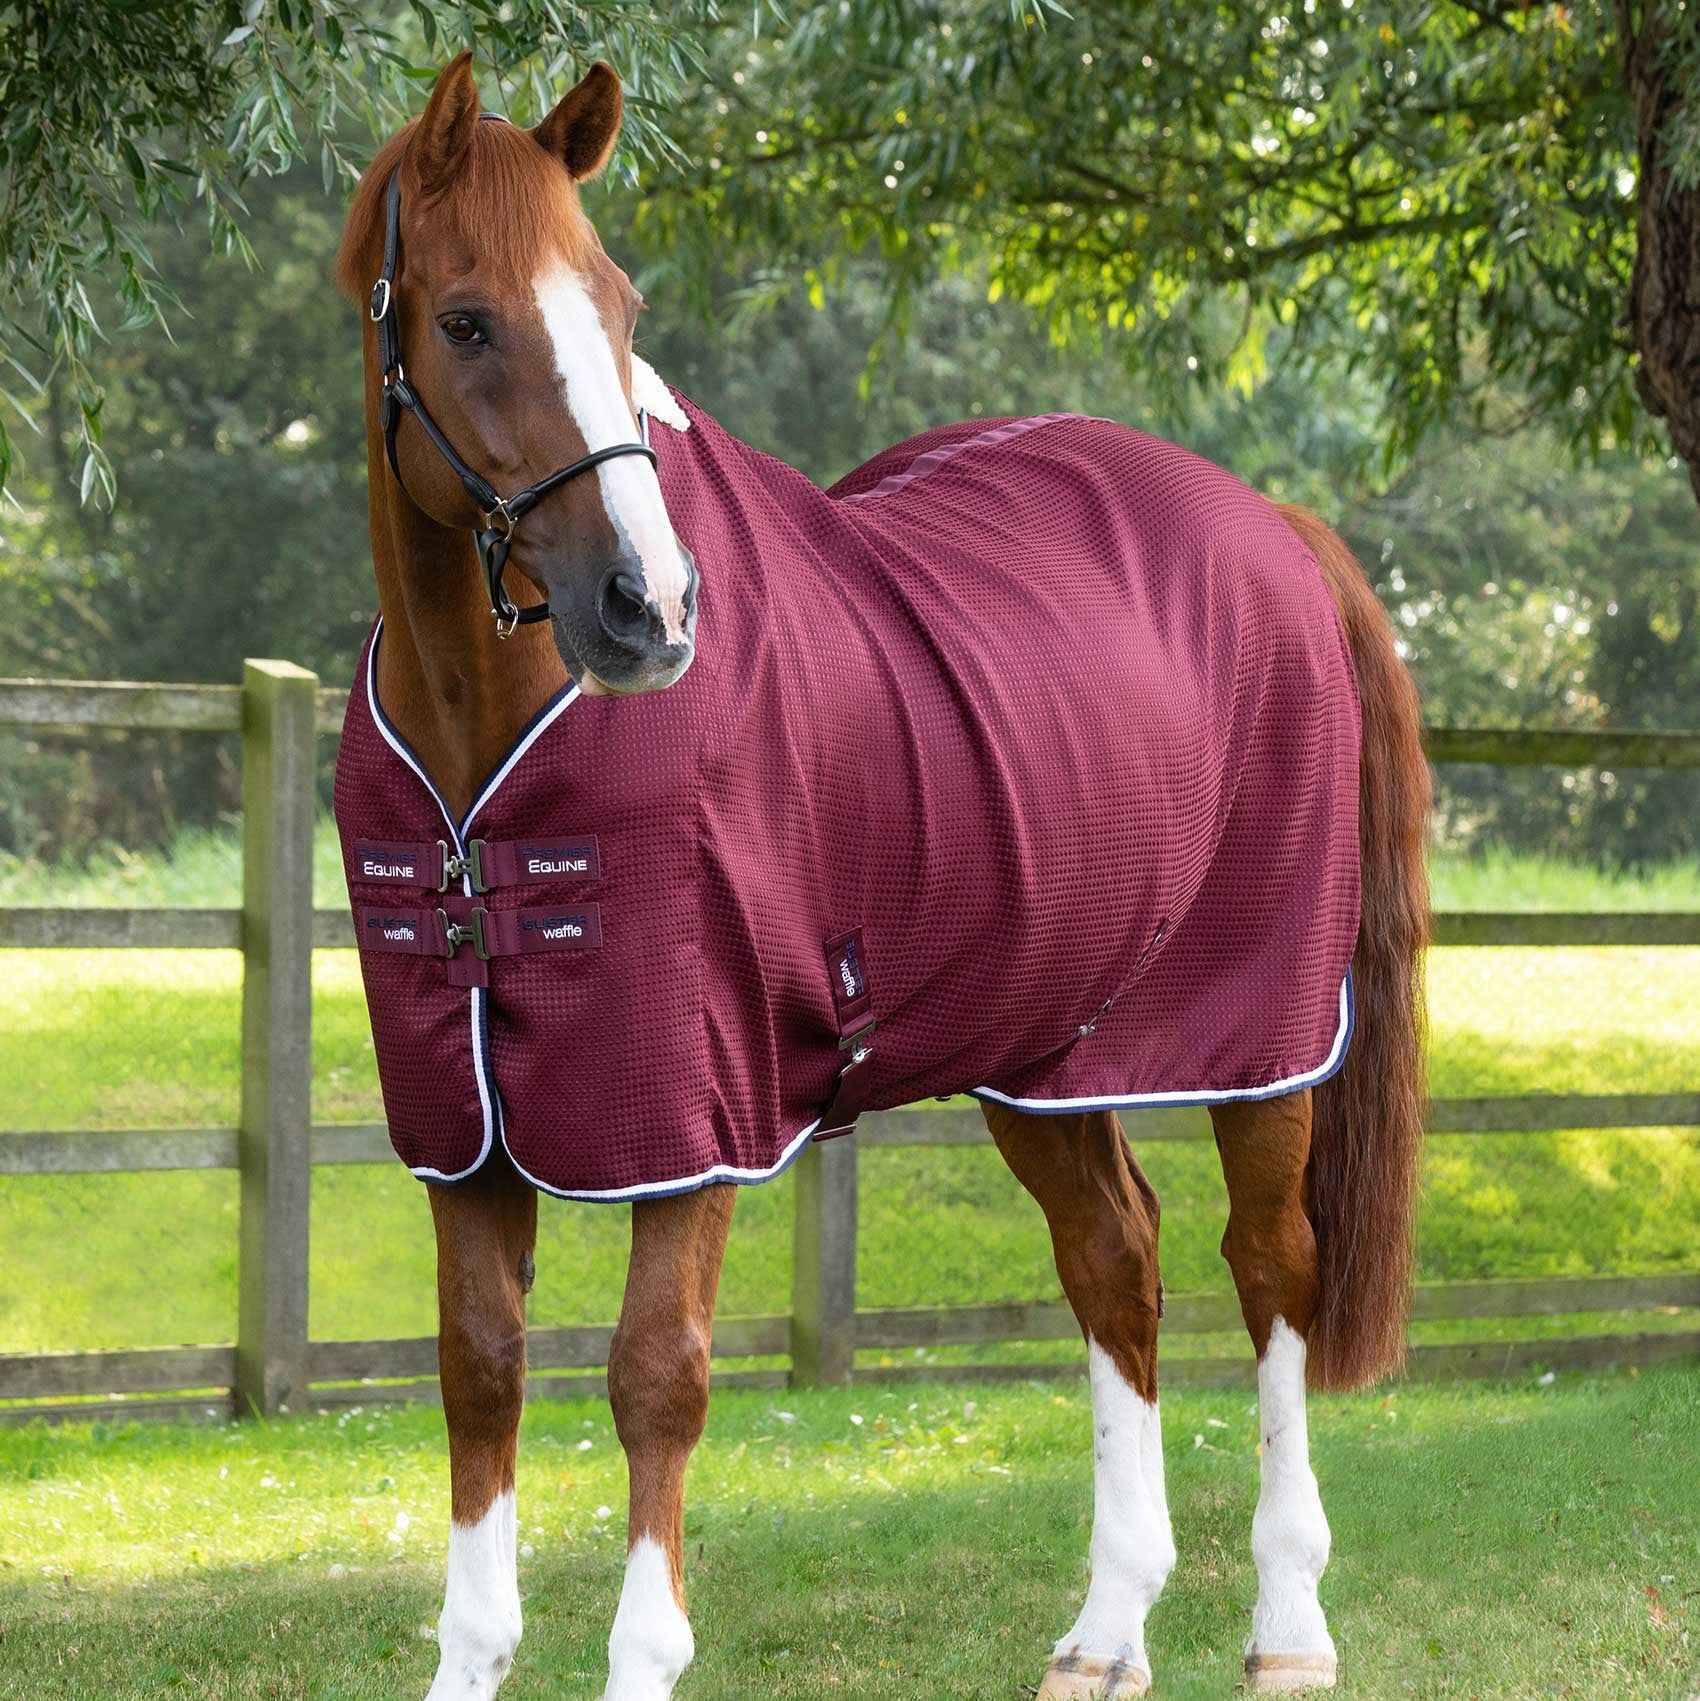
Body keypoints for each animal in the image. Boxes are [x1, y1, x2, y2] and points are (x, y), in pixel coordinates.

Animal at [332, 50, 1429, 1701]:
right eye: (464, 319)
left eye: (622, 305)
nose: (650, 608)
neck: (488, 743)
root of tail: (1277, 530)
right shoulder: (464, 1130)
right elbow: (478, 1370)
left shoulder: (690, 1113)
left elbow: (656, 1376)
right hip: (1051, 1045)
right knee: (1117, 1260)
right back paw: (1107, 1629)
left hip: (1260, 1037)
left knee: (1271, 1265)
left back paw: (1289, 1624)